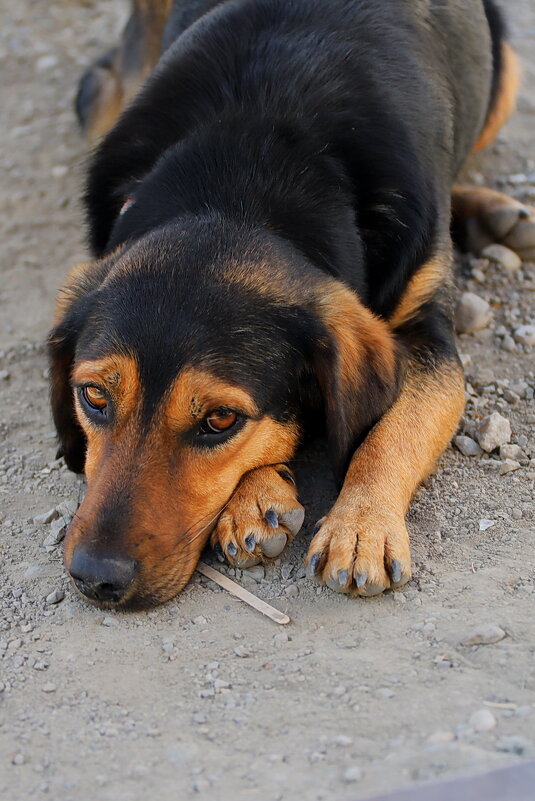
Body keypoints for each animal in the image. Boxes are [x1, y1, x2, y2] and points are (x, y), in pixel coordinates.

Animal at [48, 0, 532, 608]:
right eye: (92, 396)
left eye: (220, 420)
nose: (96, 578)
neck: (244, 175)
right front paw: (257, 496)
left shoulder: (428, 337)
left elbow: (392, 432)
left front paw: (361, 526)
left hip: (506, 74)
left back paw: (493, 215)